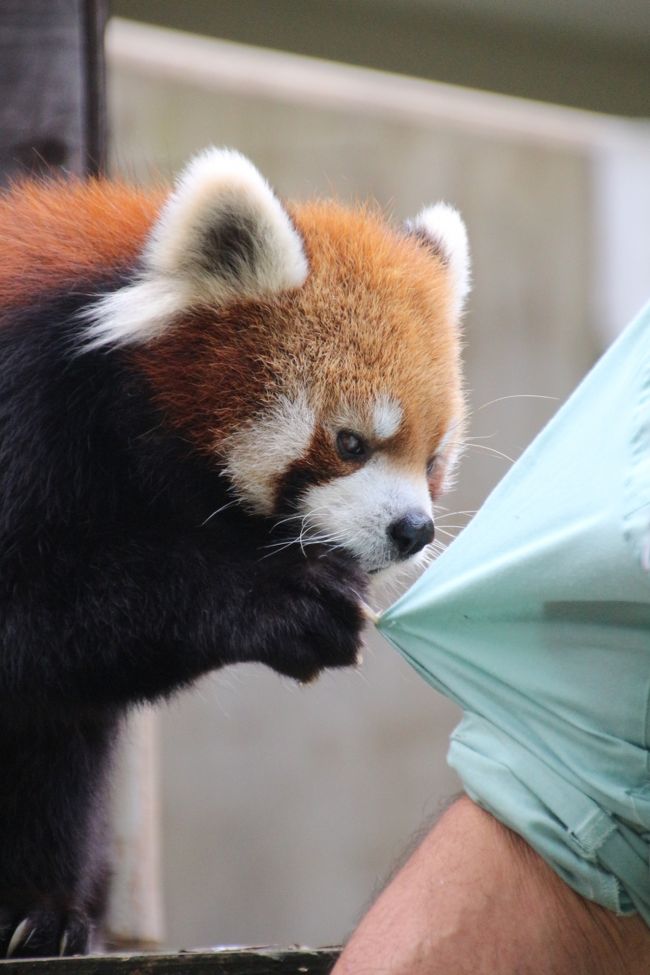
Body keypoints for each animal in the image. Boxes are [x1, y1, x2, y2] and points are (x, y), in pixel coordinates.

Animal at [0, 149, 466, 956]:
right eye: (350, 443)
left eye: (433, 460)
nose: (414, 529)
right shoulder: (24, 412)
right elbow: (34, 621)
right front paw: (277, 602)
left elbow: (57, 723)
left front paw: (39, 906)